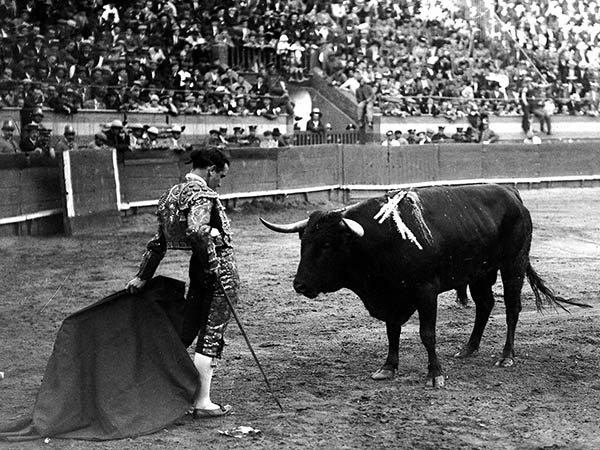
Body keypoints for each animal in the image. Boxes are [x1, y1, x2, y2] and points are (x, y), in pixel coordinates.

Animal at [260, 183, 588, 386]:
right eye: (304, 242)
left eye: (327, 245)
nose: (299, 285)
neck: (381, 241)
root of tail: (511, 193)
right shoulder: (392, 295)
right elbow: (392, 331)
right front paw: (388, 367)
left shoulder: (425, 292)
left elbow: (427, 334)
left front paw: (435, 374)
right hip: (479, 273)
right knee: (484, 305)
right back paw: (468, 348)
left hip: (513, 265)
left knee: (511, 308)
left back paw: (506, 356)